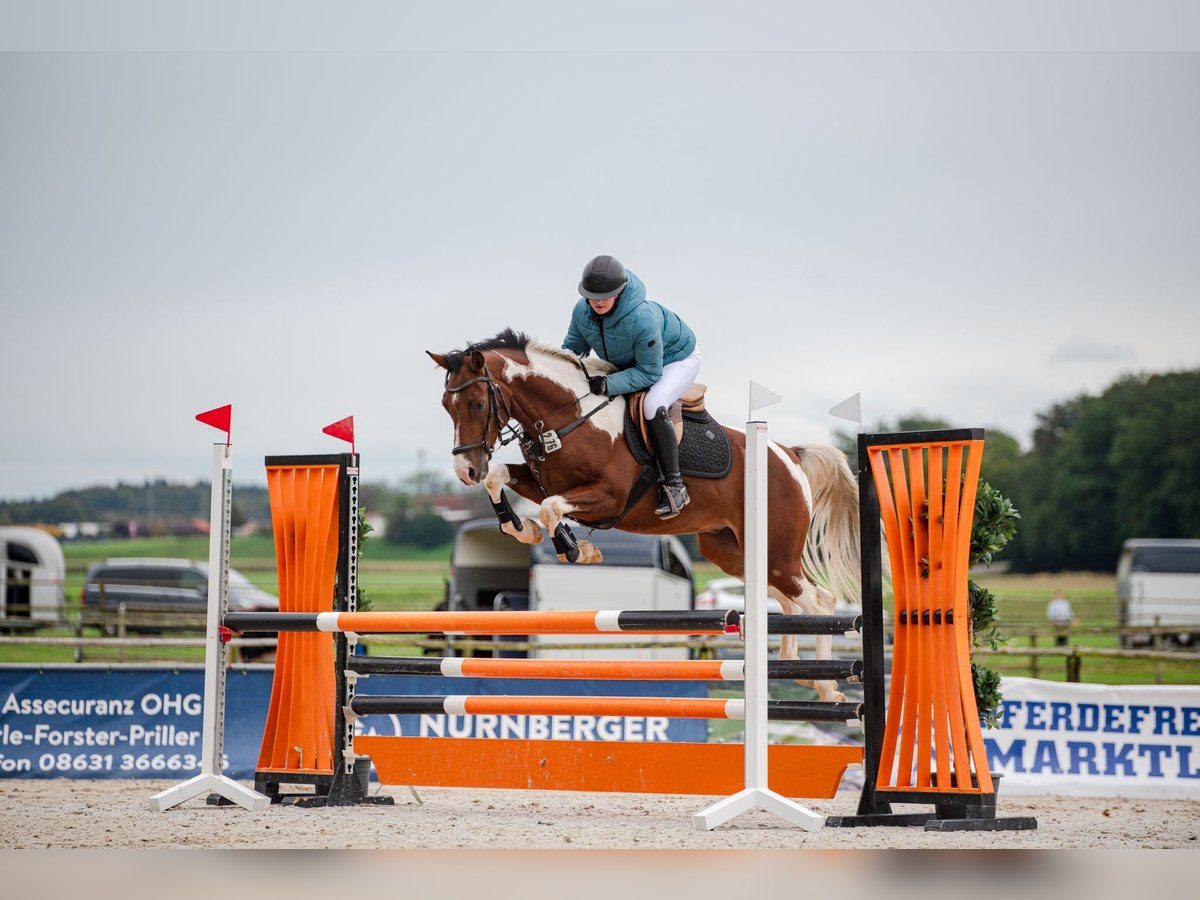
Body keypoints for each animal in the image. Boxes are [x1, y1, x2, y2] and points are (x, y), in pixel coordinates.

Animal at [432, 328, 864, 705]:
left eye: (477, 404)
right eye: (446, 407)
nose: (465, 471)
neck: (569, 416)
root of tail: (789, 454)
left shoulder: (609, 497)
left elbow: (551, 506)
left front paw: (576, 549)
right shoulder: (540, 482)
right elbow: (502, 478)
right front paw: (521, 530)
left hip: (776, 551)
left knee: (821, 600)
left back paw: (825, 686)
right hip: (733, 552)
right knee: (789, 601)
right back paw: (795, 669)